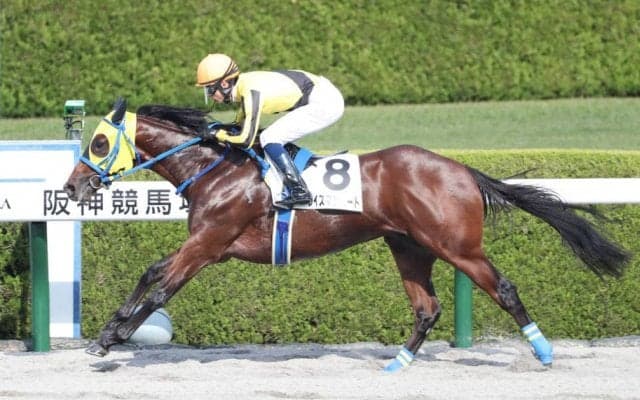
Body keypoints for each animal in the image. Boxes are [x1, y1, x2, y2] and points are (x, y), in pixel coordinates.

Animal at [63, 98, 630, 372]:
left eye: (98, 143)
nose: (71, 187)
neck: (215, 169)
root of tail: (463, 169)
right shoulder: (208, 245)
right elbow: (153, 276)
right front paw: (107, 336)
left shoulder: (209, 243)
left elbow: (160, 283)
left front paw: (114, 337)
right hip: (409, 247)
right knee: (427, 308)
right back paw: (397, 365)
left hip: (458, 247)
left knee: (504, 289)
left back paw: (544, 353)